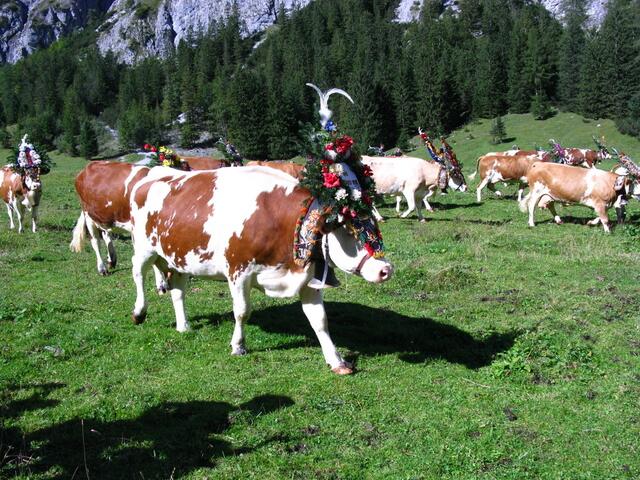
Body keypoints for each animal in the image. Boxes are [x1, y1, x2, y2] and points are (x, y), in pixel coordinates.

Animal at [128, 166, 393, 374]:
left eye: (375, 224)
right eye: (349, 230)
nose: (386, 270)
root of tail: (151, 177)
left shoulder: (308, 279)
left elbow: (319, 319)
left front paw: (336, 360)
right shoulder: (238, 272)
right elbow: (242, 312)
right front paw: (238, 346)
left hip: (178, 256)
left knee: (178, 291)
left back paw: (183, 326)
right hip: (144, 247)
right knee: (138, 273)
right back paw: (139, 312)